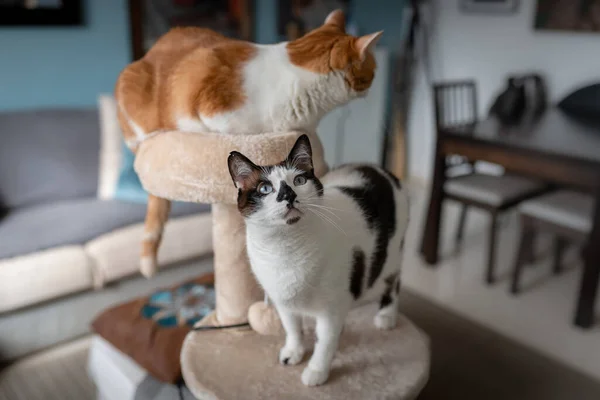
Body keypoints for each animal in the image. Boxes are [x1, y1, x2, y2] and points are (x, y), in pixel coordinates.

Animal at [227, 135, 410, 388]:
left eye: (299, 180)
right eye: (265, 188)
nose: (289, 195)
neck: (285, 250)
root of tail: (379, 168)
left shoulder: (331, 310)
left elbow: (324, 342)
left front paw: (316, 371)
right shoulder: (283, 303)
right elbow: (293, 329)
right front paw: (293, 353)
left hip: (392, 254)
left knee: (394, 281)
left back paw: (386, 316)